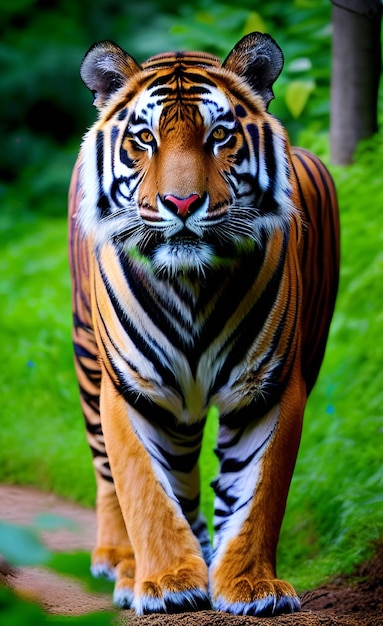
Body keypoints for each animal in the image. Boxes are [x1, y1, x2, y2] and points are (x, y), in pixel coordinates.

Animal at [68, 33, 340, 616]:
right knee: (108, 472)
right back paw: (119, 563)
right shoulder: (132, 389)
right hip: (87, 360)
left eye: (219, 136)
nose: (183, 202)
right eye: (144, 139)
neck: (192, 284)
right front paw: (168, 582)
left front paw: (250, 586)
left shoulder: (270, 387)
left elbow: (258, 493)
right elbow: (144, 489)